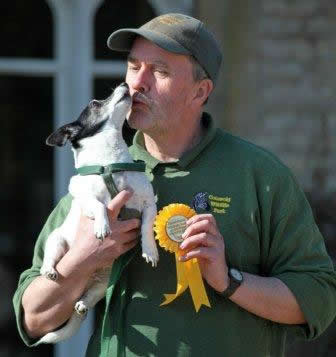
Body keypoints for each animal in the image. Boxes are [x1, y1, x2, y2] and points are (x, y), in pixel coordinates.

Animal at [38, 82, 159, 344]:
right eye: (95, 103)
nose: (125, 84)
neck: (110, 164)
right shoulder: (85, 198)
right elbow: (99, 205)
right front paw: (103, 226)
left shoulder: (148, 204)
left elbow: (147, 226)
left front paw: (150, 251)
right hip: (57, 241)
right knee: (50, 259)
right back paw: (49, 270)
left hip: (102, 285)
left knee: (89, 297)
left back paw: (82, 304)